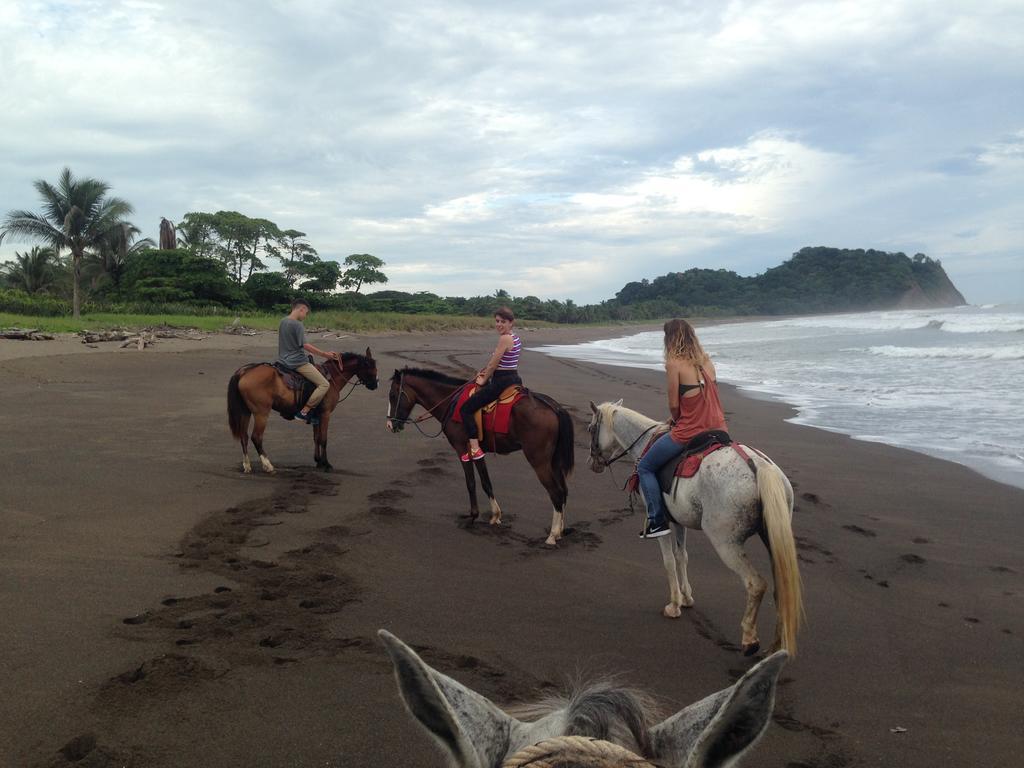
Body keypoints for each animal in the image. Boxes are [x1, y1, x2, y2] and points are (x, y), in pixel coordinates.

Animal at [226, 350, 378, 473]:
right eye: (371, 369)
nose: (375, 385)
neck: (331, 378)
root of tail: (244, 371)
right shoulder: (325, 414)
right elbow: (324, 439)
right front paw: (326, 464)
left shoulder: (317, 416)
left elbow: (316, 438)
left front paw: (318, 461)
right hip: (261, 413)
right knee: (256, 437)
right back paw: (268, 465)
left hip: (245, 412)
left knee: (244, 437)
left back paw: (247, 465)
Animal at [385, 366, 577, 548]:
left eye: (393, 395)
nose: (389, 424)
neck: (451, 402)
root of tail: (554, 407)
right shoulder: (477, 451)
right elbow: (486, 483)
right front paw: (495, 516)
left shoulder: (462, 448)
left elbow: (470, 483)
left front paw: (472, 517)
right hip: (554, 461)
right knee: (564, 491)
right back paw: (560, 531)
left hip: (539, 461)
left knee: (556, 493)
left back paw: (552, 535)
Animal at [589, 399, 802, 659]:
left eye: (591, 428)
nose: (593, 464)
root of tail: (757, 466)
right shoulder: (679, 521)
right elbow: (682, 557)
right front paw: (687, 596)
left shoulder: (662, 523)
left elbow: (669, 561)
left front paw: (674, 604)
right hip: (772, 538)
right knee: (782, 588)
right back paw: (775, 646)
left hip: (725, 543)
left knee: (756, 584)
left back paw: (750, 640)